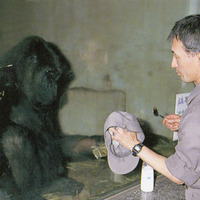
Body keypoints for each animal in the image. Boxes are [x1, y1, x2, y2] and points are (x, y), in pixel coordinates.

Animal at [0, 36, 102, 199]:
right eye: (48, 73)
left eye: (56, 75)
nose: (53, 86)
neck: (20, 85)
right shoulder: (3, 81)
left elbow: (57, 139)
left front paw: (96, 143)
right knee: (14, 136)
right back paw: (34, 192)